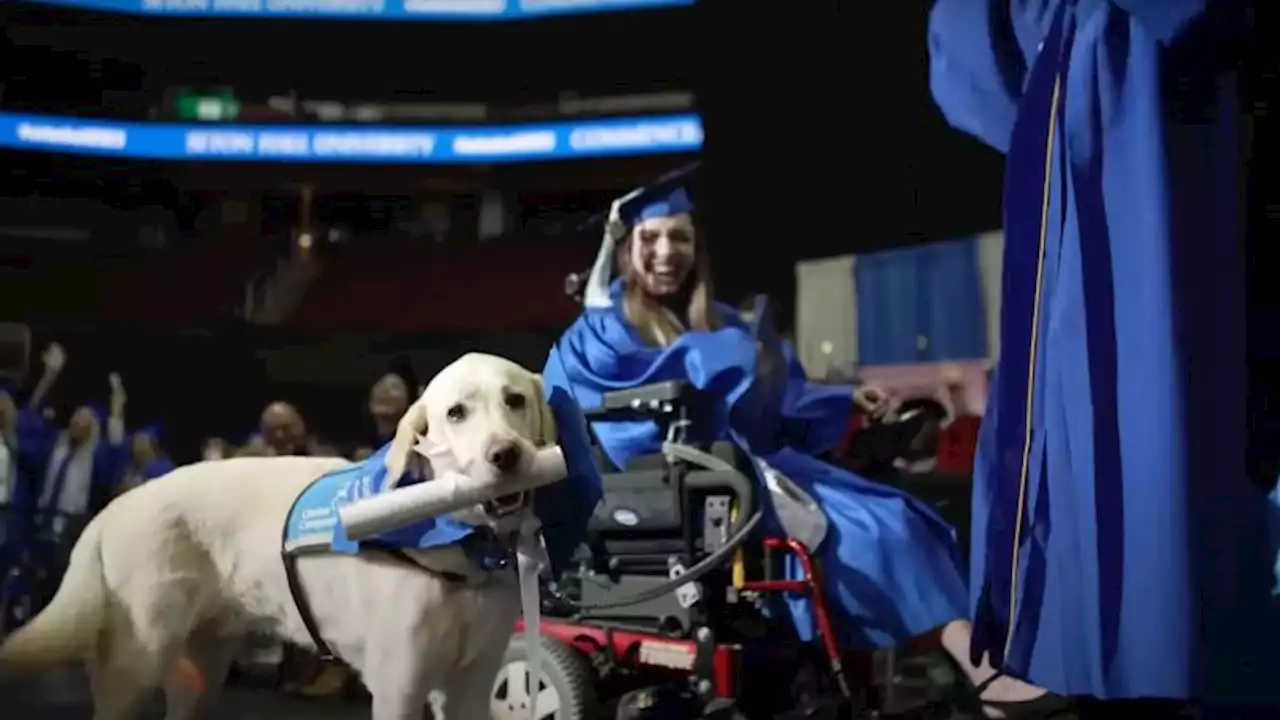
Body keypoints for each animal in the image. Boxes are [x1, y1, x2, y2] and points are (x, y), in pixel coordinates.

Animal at [2, 351, 558, 717]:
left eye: (515, 400)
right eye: (456, 413)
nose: (506, 455)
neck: (459, 548)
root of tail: (114, 506)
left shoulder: (471, 686)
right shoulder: (399, 686)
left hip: (199, 673)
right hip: (133, 666)